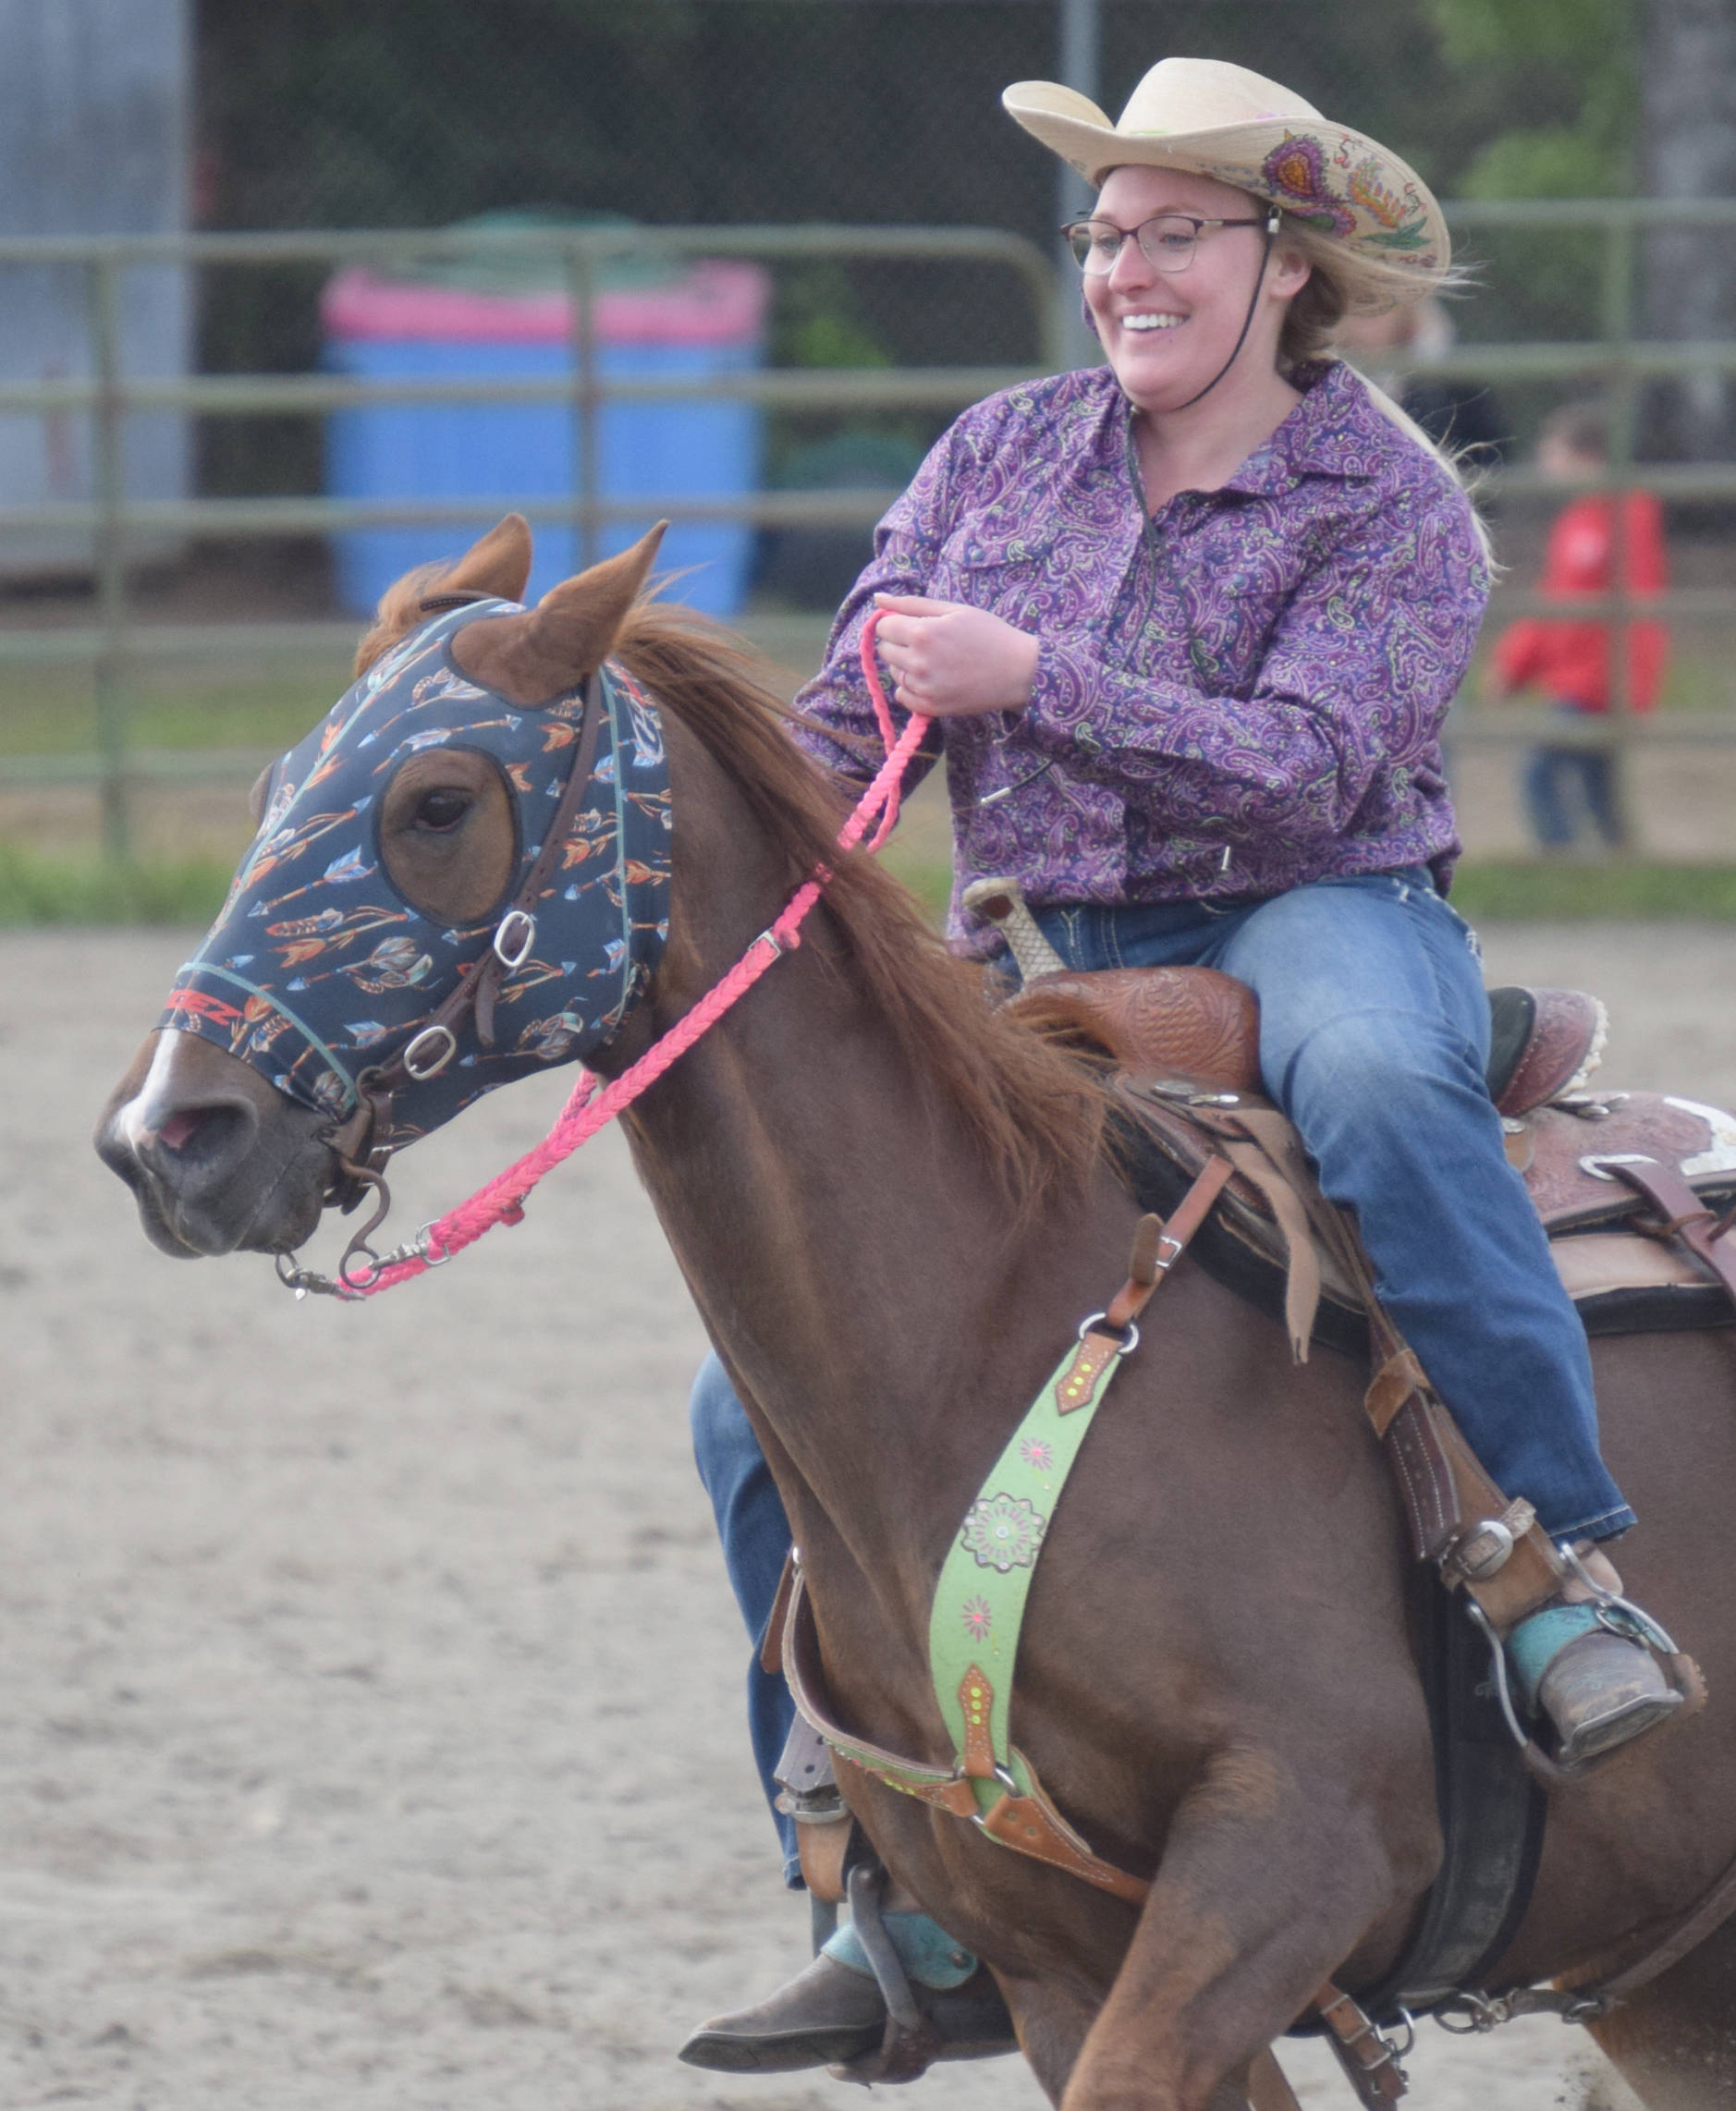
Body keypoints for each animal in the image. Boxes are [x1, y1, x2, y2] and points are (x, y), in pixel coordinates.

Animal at [98, 515, 1736, 2111]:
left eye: (436, 802)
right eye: (276, 787)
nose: (165, 1137)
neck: (994, 1329)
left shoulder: (1293, 1853)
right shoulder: (1062, 1962)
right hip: (1669, 2001)